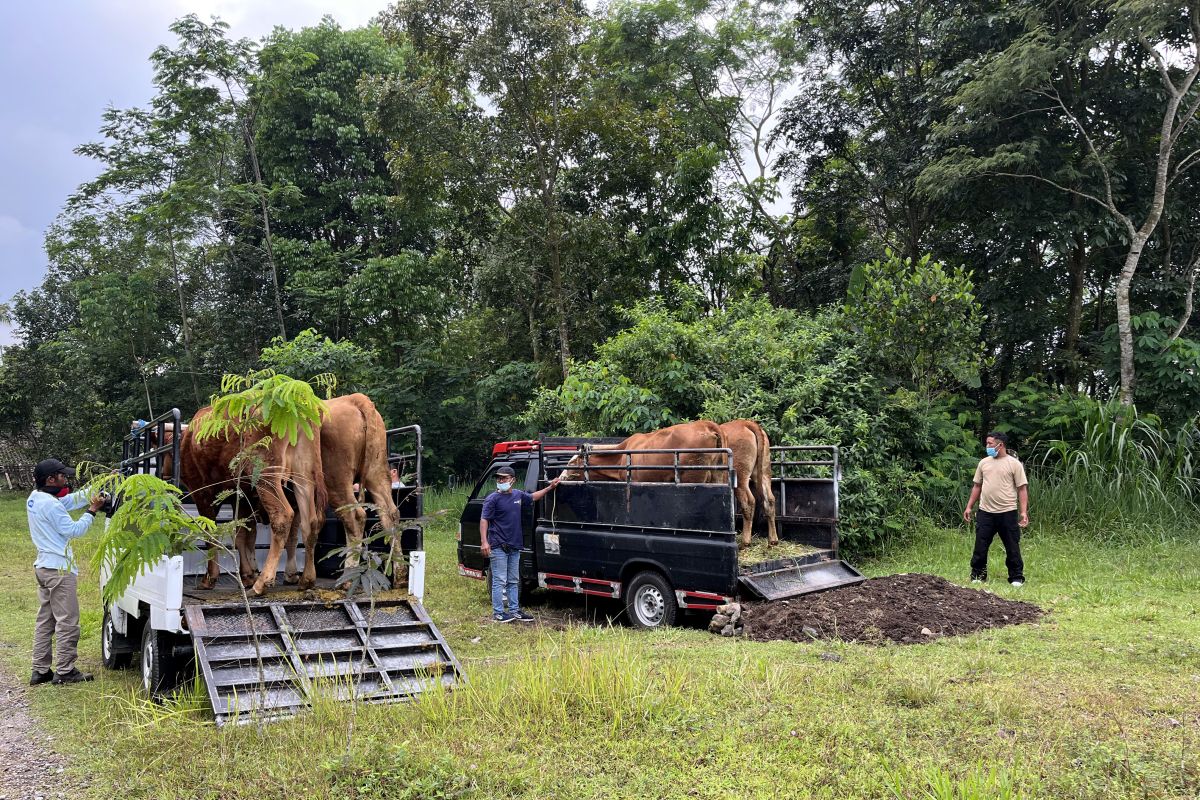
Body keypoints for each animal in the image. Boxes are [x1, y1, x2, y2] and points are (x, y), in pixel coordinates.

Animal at [164, 410, 326, 597]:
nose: (162, 472)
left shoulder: (202, 491)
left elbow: (210, 534)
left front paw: (210, 578)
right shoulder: (241, 496)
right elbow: (242, 535)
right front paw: (247, 575)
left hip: (266, 475)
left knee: (283, 516)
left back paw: (262, 583)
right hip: (303, 476)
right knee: (310, 522)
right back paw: (307, 579)